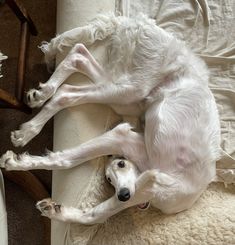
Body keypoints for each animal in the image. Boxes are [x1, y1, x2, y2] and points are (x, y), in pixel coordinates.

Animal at [0, 13, 221, 224]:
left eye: (120, 167)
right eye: (109, 178)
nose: (122, 195)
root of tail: (134, 21)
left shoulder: (130, 151)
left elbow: (92, 214)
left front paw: (55, 209)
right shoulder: (123, 140)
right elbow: (66, 163)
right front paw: (17, 164)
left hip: (124, 94)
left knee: (77, 59)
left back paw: (41, 95)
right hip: (130, 89)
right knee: (67, 92)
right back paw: (28, 129)